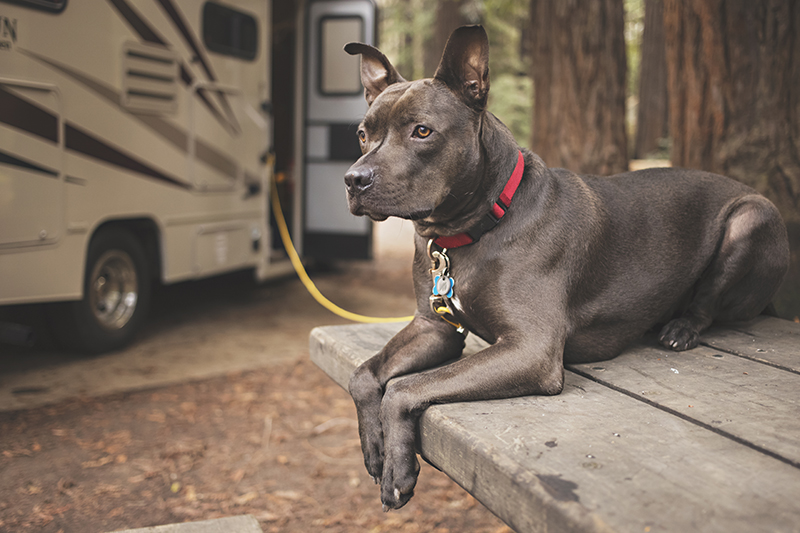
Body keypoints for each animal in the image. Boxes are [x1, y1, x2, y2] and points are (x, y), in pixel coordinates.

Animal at [340, 26, 792, 512]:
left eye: (422, 131)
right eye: (363, 134)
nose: (353, 179)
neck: (471, 231)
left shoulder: (530, 349)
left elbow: (404, 388)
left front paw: (397, 467)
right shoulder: (433, 329)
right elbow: (363, 375)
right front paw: (376, 447)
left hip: (751, 216)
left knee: (707, 303)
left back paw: (680, 328)